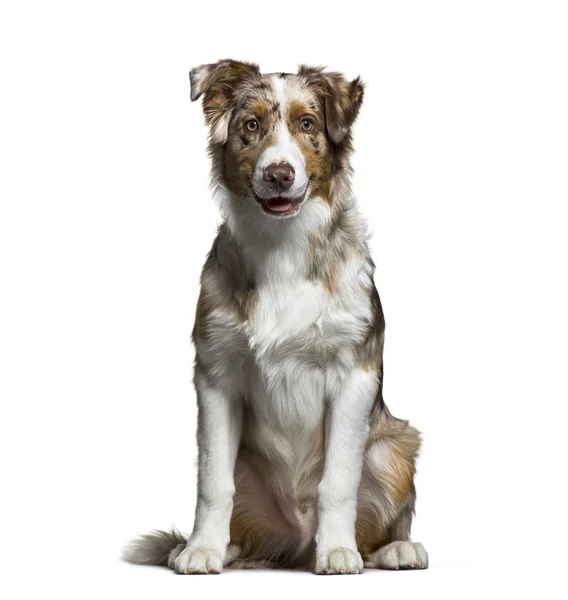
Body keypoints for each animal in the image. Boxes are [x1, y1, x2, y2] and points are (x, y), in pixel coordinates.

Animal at [123, 58, 426, 576]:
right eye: (251, 126)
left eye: (307, 124)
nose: (280, 174)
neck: (283, 246)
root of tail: (295, 544)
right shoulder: (217, 376)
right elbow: (212, 483)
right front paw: (202, 550)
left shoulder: (354, 373)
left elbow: (337, 481)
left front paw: (338, 551)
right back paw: (218, 548)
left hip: (396, 444)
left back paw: (393, 549)